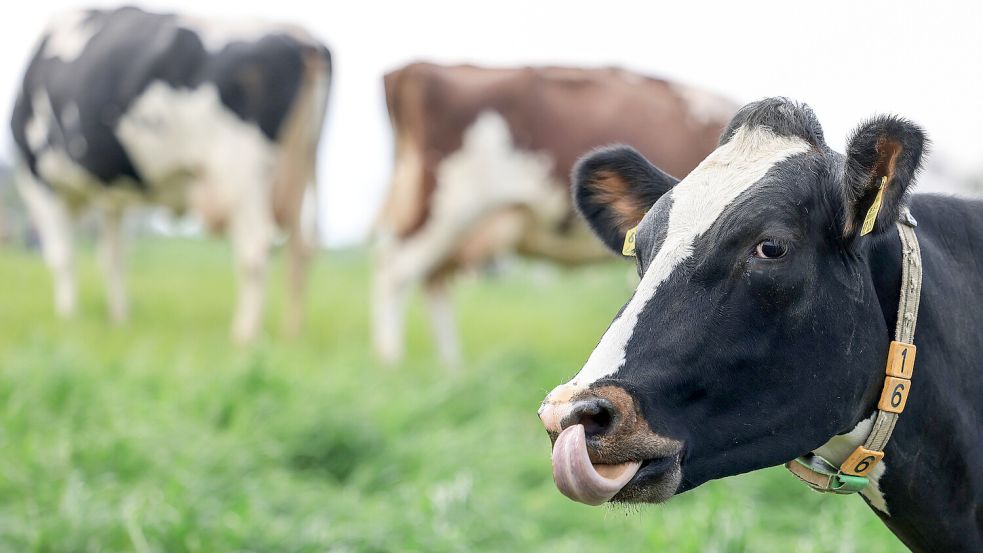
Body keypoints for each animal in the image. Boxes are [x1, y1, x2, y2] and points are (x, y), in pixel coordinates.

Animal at [10, 7, 331, 342]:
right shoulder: (113, 196)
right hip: (304, 166)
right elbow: (114, 257)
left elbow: (62, 257)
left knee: (255, 249)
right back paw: (292, 335)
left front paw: (68, 318)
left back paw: (244, 335)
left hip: (243, 171)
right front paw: (119, 319)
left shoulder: (38, 180)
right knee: (301, 251)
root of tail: (300, 36)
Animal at [374, 62, 736, 366]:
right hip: (443, 207)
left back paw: (451, 367)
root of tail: (413, 69)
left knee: (432, 280)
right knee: (395, 275)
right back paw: (393, 363)